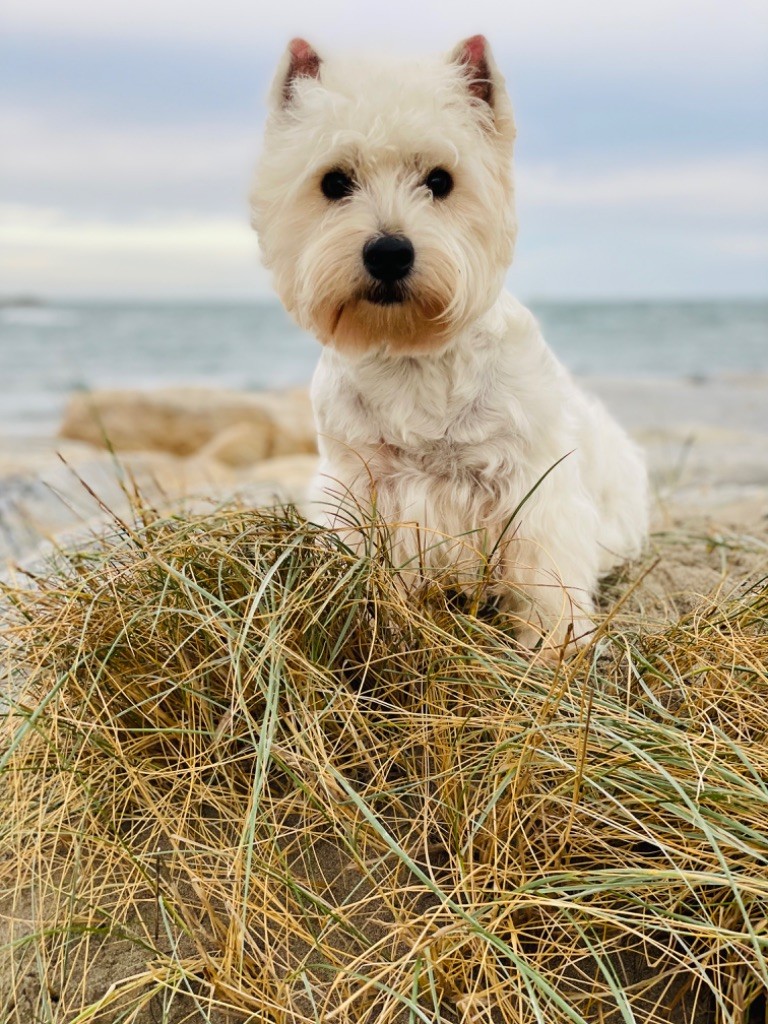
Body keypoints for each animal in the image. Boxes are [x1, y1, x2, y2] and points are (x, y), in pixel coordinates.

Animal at [253, 37, 651, 647]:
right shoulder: (358, 483)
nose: (389, 252)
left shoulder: (535, 486)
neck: (411, 354)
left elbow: (544, 574)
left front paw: (551, 645)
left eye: (440, 181)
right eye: (334, 182)